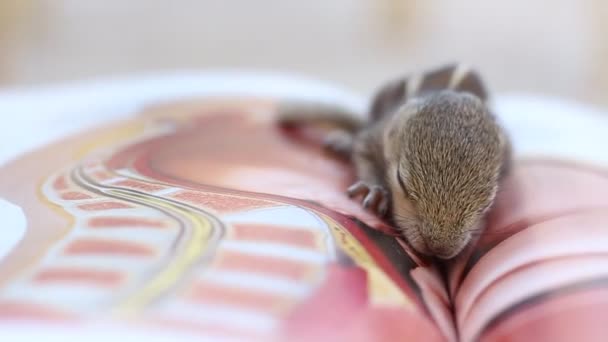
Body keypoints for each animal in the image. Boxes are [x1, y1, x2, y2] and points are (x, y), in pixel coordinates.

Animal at [278, 63, 510, 260]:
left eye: (488, 202)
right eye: (401, 180)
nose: (439, 247)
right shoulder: (376, 136)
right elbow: (362, 150)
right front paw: (375, 190)